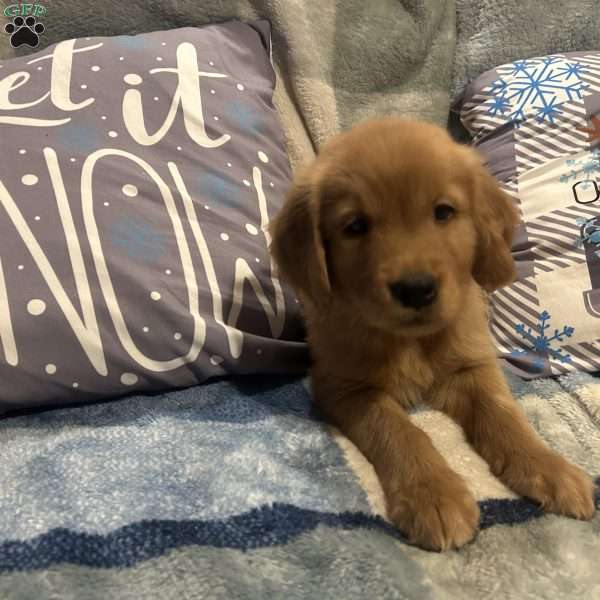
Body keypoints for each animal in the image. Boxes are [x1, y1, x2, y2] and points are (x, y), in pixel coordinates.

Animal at [270, 118, 596, 552]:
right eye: (355, 226)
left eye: (444, 212)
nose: (416, 289)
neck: (412, 342)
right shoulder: (344, 388)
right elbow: (400, 432)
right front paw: (434, 495)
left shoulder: (471, 367)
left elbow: (505, 415)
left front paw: (548, 467)